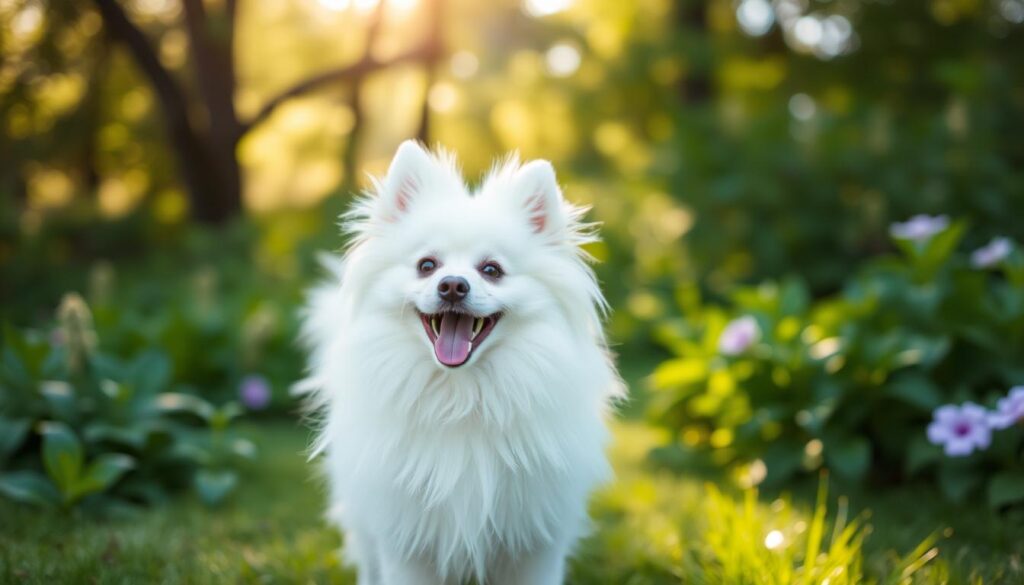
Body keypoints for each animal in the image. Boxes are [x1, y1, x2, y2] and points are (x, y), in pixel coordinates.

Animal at [296, 143, 622, 585]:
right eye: (426, 265)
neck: (462, 397)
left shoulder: (533, 544)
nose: (452, 285)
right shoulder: (407, 543)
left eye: (492, 270)